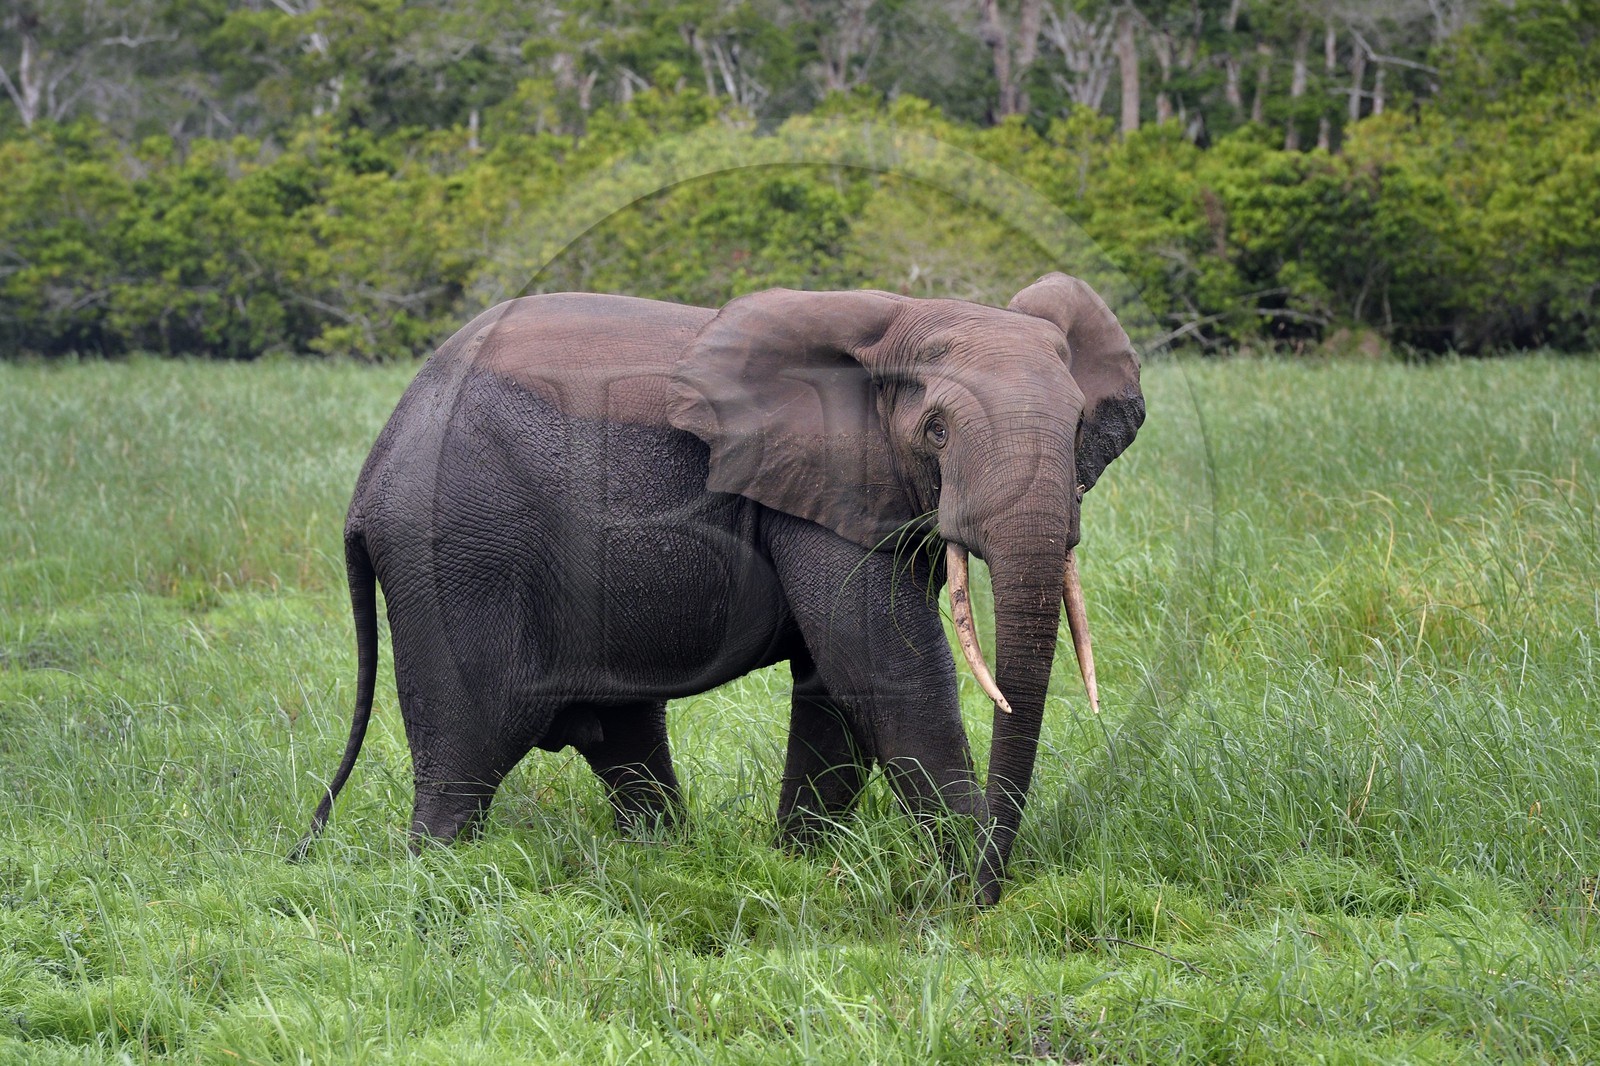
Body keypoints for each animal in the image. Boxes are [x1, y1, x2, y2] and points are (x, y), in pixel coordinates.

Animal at [291, 274, 1144, 904]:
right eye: (936, 430)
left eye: (1078, 429)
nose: (993, 890)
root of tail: (370, 478)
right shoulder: (823, 489)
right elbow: (886, 668)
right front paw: (966, 890)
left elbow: (836, 687)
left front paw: (799, 868)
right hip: (459, 554)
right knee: (467, 752)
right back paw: (439, 879)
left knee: (624, 738)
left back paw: (665, 861)